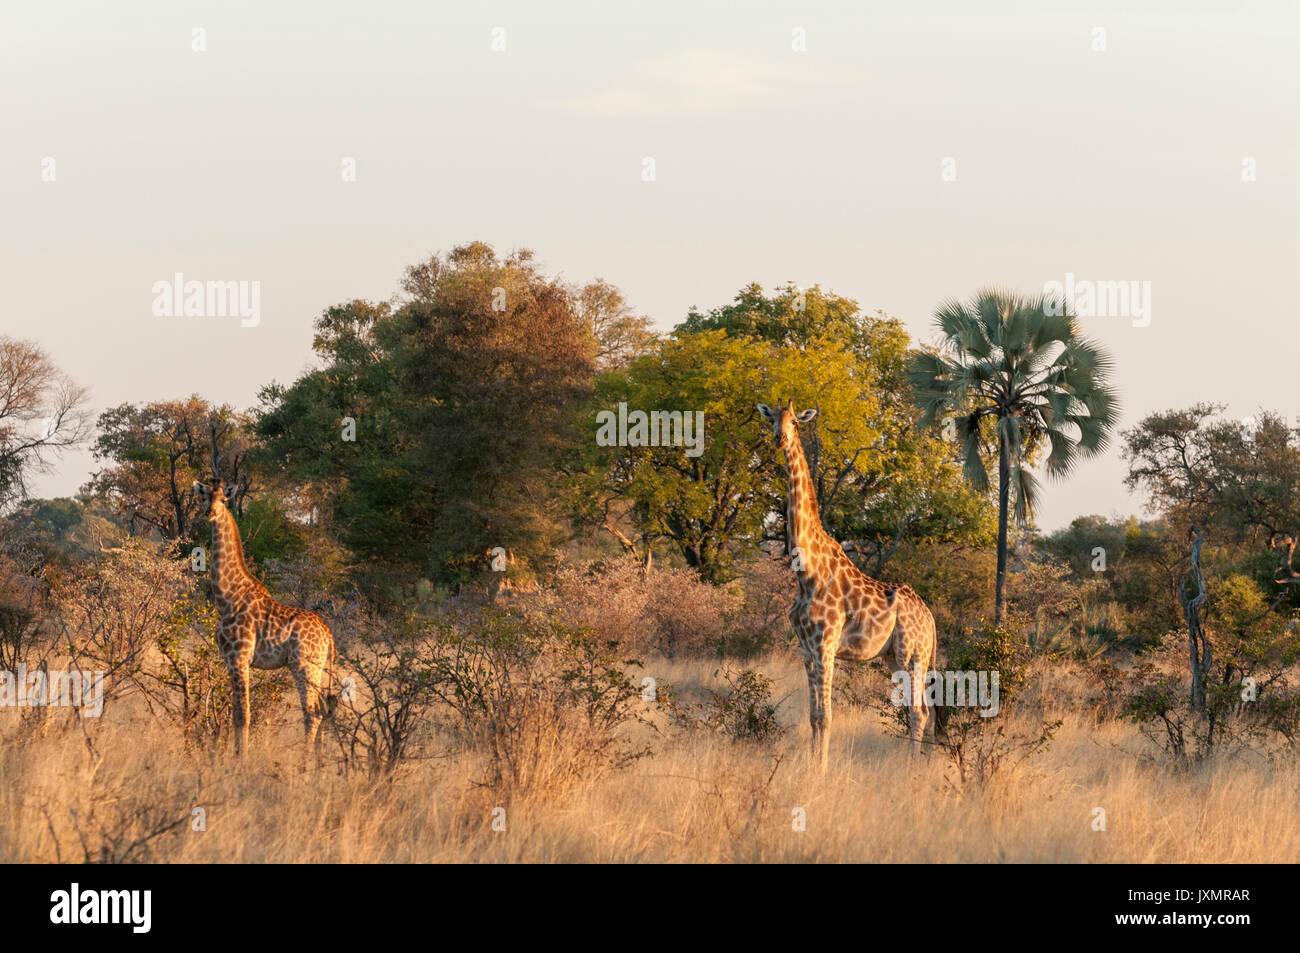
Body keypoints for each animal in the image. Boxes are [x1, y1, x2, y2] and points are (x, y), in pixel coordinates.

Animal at [193, 478, 336, 758]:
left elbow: (243, 716)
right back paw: (319, 764)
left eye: (224, 499)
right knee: (324, 710)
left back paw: (304, 764)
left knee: (313, 713)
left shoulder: (239, 657)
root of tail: (329, 634)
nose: (210, 513)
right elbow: (237, 714)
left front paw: (241, 761)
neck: (227, 596)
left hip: (305, 666)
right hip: (317, 667)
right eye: (204, 498)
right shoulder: (231, 660)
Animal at [758, 400, 937, 768]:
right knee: (924, 711)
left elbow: (826, 716)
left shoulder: (826, 644)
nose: (780, 438)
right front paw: (813, 765)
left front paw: (821, 771)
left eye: (795, 422)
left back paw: (911, 768)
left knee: (919, 712)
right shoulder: (806, 647)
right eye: (772, 419)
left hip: (913, 654)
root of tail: (931, 619)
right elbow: (813, 715)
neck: (805, 572)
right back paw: (919, 762)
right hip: (892, 657)